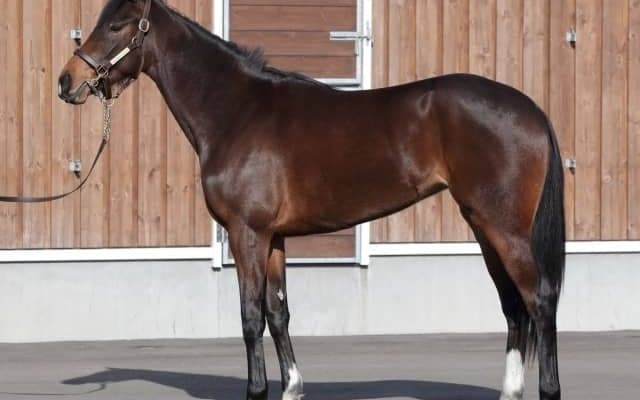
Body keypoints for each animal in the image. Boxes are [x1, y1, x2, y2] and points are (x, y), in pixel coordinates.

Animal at [57, 1, 565, 399]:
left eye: (117, 25)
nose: (67, 81)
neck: (236, 111)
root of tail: (532, 110)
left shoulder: (246, 234)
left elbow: (249, 316)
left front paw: (256, 390)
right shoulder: (274, 238)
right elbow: (278, 312)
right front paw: (293, 387)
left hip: (504, 229)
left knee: (539, 301)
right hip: (483, 225)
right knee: (513, 306)